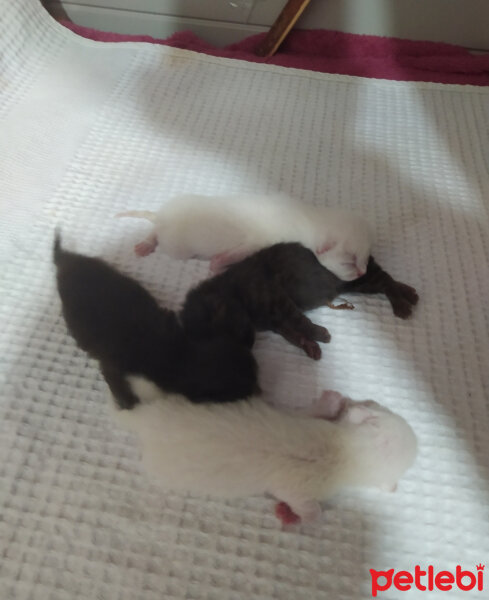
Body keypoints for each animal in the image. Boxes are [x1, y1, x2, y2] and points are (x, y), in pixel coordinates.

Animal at [53, 233, 260, 408]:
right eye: (234, 392)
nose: (257, 387)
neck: (178, 356)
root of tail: (66, 260)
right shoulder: (121, 373)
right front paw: (124, 404)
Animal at [113, 380, 416, 524]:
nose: (363, 401)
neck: (350, 449)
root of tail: (144, 421)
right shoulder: (298, 486)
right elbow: (299, 501)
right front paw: (312, 516)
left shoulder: (306, 421)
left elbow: (309, 412)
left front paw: (332, 402)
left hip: (177, 404)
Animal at [117, 195, 370, 284]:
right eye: (349, 262)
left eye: (366, 259)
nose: (362, 273)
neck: (311, 218)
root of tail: (163, 217)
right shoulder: (259, 241)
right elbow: (230, 255)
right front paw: (218, 267)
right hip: (176, 247)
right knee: (156, 232)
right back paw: (146, 243)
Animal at [181, 241, 418, 358]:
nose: (249, 346)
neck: (233, 292)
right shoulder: (276, 321)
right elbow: (292, 334)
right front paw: (310, 345)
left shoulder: (279, 301)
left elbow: (300, 322)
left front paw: (320, 334)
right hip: (358, 283)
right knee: (386, 280)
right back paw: (409, 294)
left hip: (358, 277)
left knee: (385, 281)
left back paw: (403, 305)